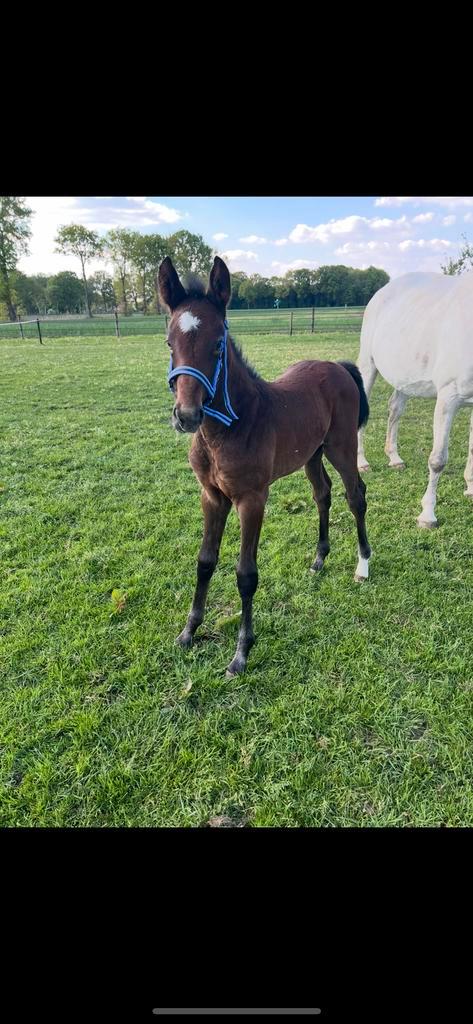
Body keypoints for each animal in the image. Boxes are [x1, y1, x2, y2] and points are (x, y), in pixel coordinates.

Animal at [159, 255, 371, 676]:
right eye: (170, 342)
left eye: (218, 344)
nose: (187, 416)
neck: (230, 426)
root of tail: (338, 366)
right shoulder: (211, 496)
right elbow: (204, 561)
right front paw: (188, 632)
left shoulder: (252, 499)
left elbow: (246, 575)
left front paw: (242, 652)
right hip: (311, 454)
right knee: (323, 494)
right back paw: (319, 559)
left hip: (342, 447)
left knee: (356, 495)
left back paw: (363, 566)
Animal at [357, 271, 473, 528]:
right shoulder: (448, 398)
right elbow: (438, 459)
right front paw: (427, 515)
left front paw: (471, 488)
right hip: (367, 365)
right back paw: (362, 463)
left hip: (404, 377)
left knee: (395, 410)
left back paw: (394, 458)